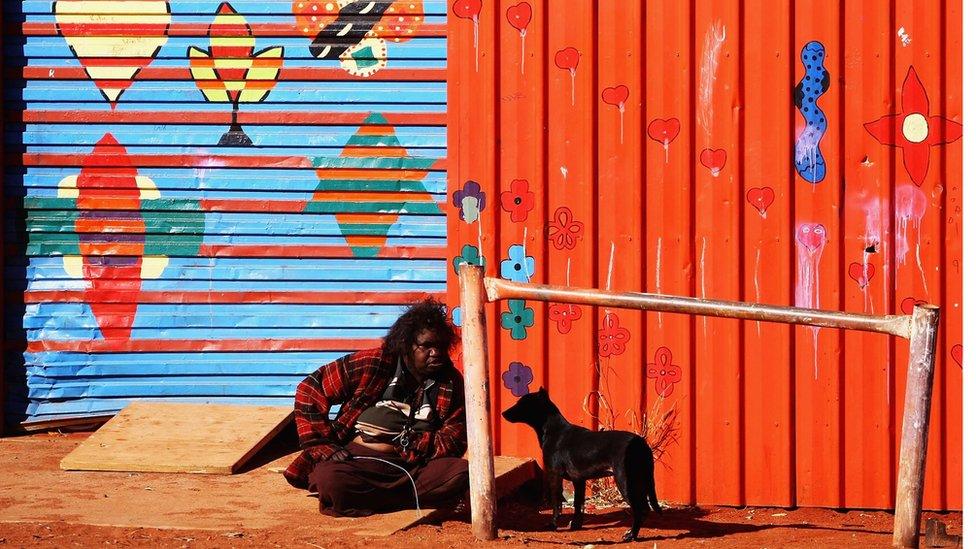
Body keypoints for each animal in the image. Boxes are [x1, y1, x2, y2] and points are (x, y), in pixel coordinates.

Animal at [504, 388, 664, 540]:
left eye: (522, 403)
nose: (503, 413)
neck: (554, 430)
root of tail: (640, 442)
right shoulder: (578, 480)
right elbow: (578, 504)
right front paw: (576, 524)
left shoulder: (555, 475)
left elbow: (557, 504)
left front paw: (553, 524)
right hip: (641, 481)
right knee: (645, 509)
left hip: (625, 480)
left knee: (639, 509)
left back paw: (631, 535)